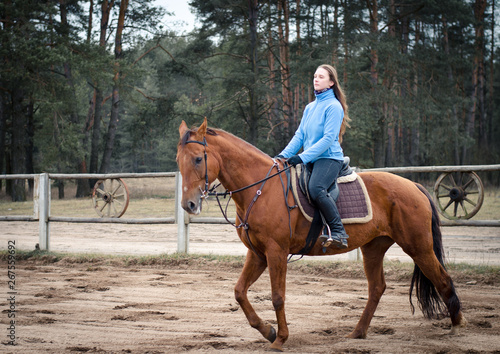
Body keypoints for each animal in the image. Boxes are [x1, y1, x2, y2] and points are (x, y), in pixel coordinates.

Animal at [176, 119, 464, 352]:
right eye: (179, 161)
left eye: (198, 159)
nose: (188, 205)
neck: (261, 188)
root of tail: (414, 186)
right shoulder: (258, 254)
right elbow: (239, 292)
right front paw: (267, 330)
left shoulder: (276, 252)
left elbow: (277, 296)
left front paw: (280, 339)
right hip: (373, 248)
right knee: (377, 288)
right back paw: (358, 332)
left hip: (419, 247)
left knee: (443, 279)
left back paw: (457, 325)